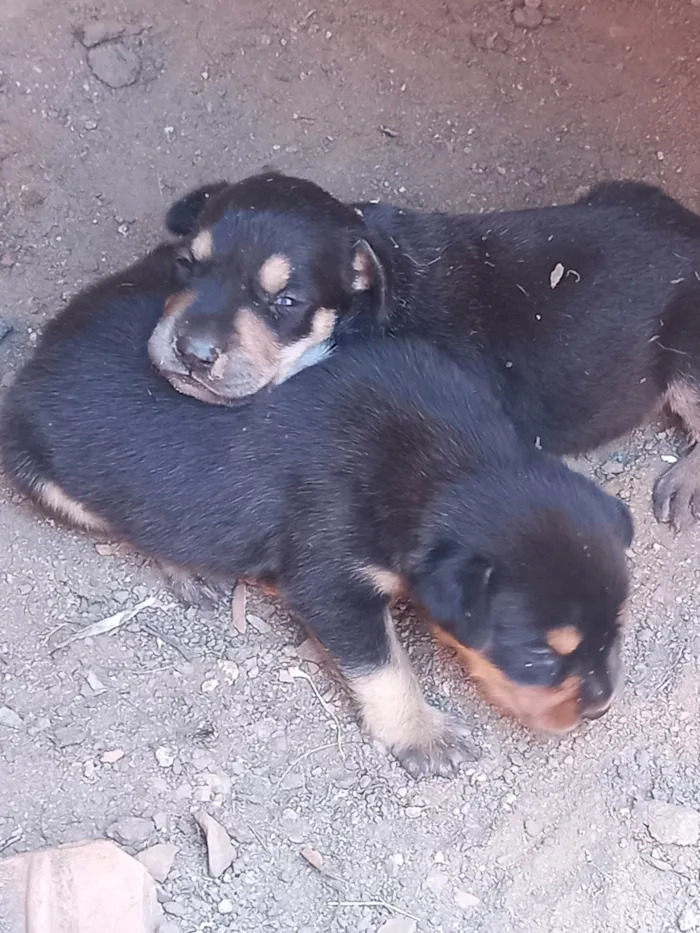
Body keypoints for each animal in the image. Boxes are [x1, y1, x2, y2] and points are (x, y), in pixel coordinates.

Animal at [0, 244, 632, 776]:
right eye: (536, 655)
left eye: (616, 630)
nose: (601, 706)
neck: (449, 461)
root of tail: (45, 348)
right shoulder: (331, 582)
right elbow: (384, 667)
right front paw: (422, 734)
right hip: (44, 472)